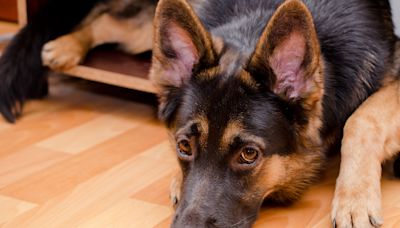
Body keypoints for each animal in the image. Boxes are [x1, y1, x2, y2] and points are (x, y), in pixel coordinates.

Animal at [0, 0, 398, 226]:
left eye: (249, 154)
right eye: (184, 147)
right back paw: (63, 47)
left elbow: (361, 120)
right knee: (108, 20)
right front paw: (178, 181)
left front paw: (355, 199)